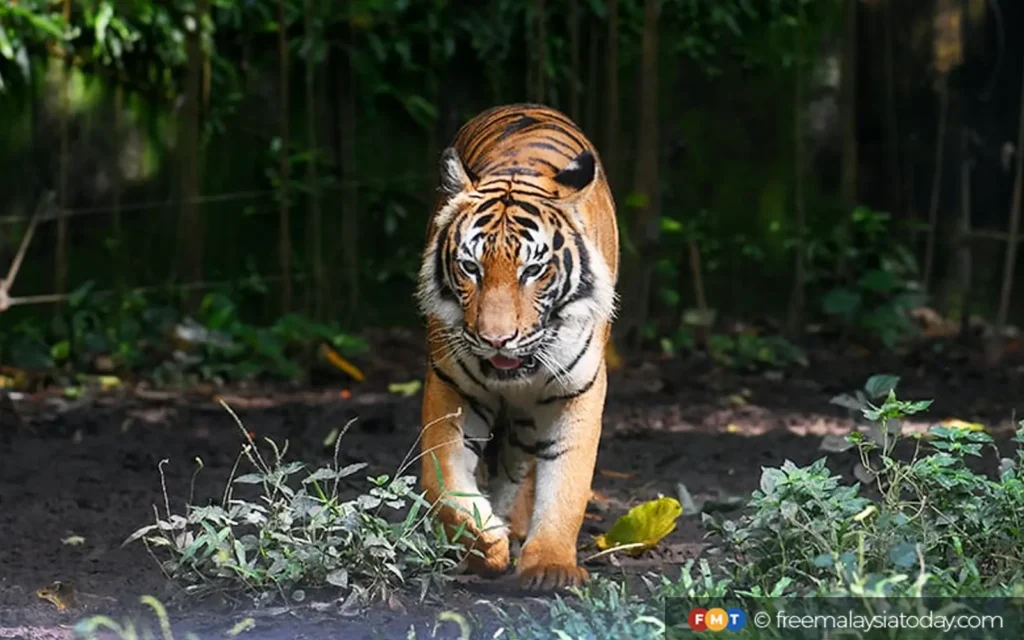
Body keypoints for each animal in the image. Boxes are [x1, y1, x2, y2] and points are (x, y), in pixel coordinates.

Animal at [415, 103, 619, 591]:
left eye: (533, 270)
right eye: (470, 267)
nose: (496, 339)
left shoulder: (578, 391)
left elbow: (567, 483)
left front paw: (549, 565)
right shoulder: (450, 385)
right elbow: (441, 482)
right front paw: (485, 545)